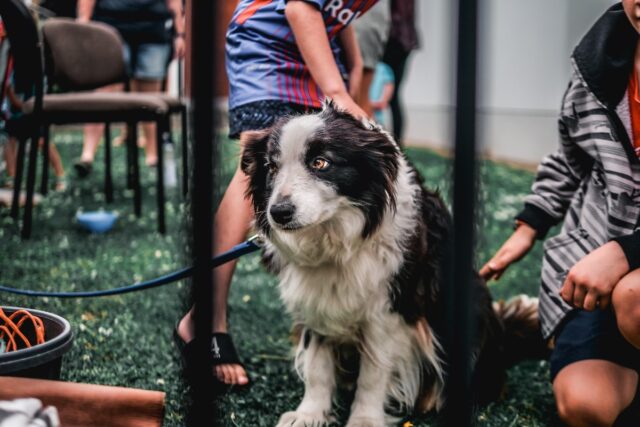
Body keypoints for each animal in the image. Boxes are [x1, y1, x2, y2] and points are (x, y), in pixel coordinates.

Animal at [240, 102, 544, 426]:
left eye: (320, 163)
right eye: (272, 168)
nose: (278, 212)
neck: (337, 240)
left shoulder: (391, 308)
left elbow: (374, 374)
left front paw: (364, 419)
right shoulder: (315, 299)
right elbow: (317, 366)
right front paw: (309, 414)